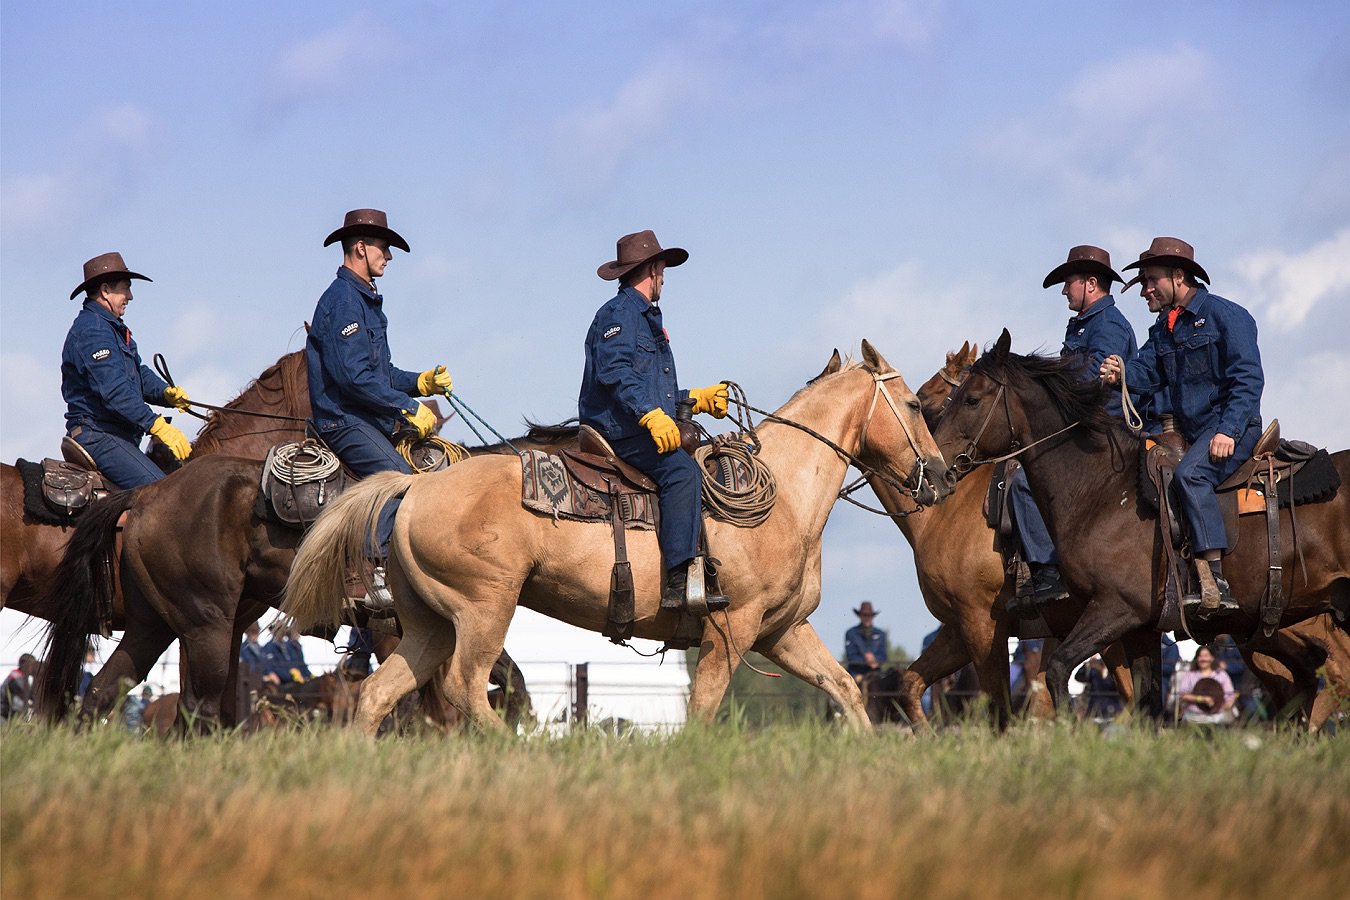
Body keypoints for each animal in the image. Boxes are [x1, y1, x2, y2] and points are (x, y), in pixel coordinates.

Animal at [282, 341, 961, 734]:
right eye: (914, 405)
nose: (942, 476)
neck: (784, 497)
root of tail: (414, 487)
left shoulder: (783, 630)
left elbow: (844, 690)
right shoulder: (733, 629)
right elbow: (705, 709)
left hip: (427, 623)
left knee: (378, 695)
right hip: (482, 609)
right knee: (465, 688)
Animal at [928, 330, 1350, 712]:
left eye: (970, 398)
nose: (935, 466)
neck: (1102, 489)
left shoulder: (1116, 608)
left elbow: (1057, 671)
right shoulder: (1141, 629)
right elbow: (1146, 702)